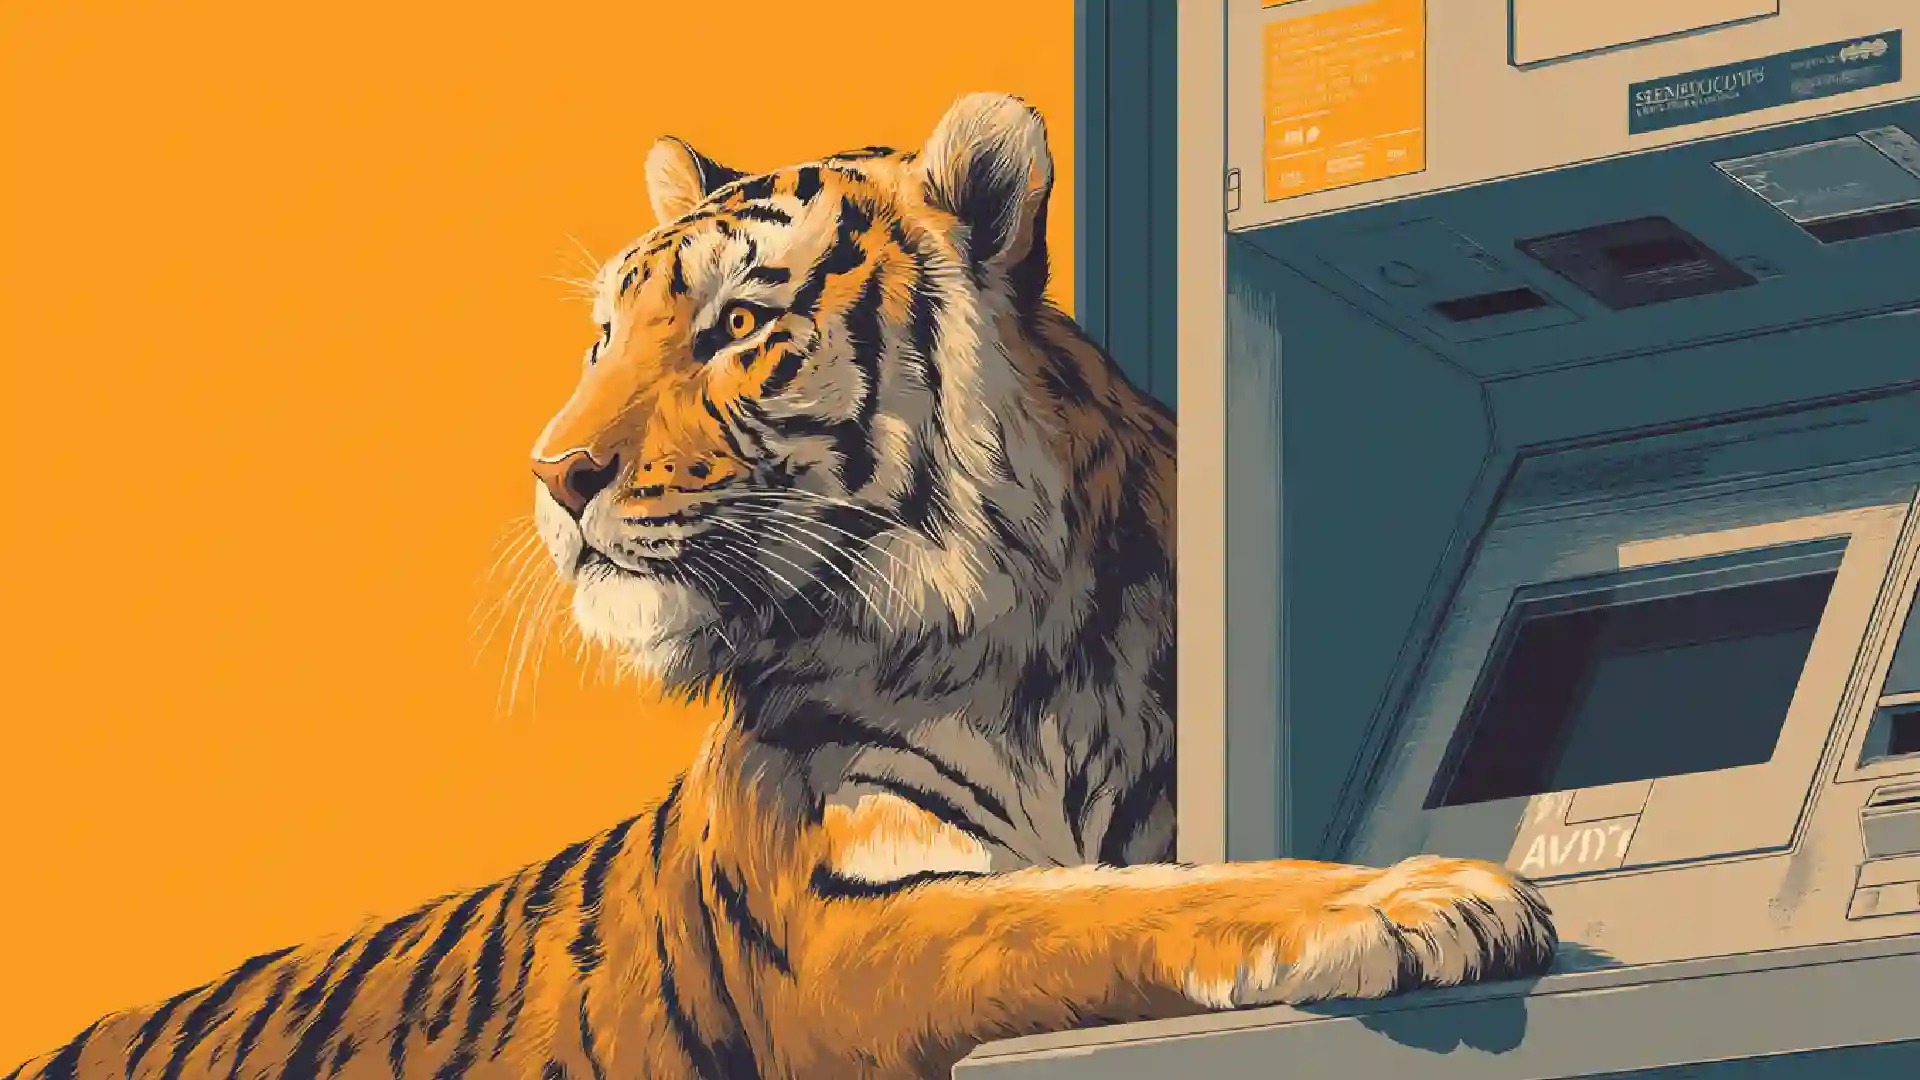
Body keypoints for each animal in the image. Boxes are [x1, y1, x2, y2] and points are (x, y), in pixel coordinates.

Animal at [9, 92, 1557, 1080]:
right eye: (602, 339)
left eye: (736, 325)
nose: (553, 473)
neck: (1033, 648)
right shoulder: (852, 921)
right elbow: (1121, 905)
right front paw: (1418, 898)